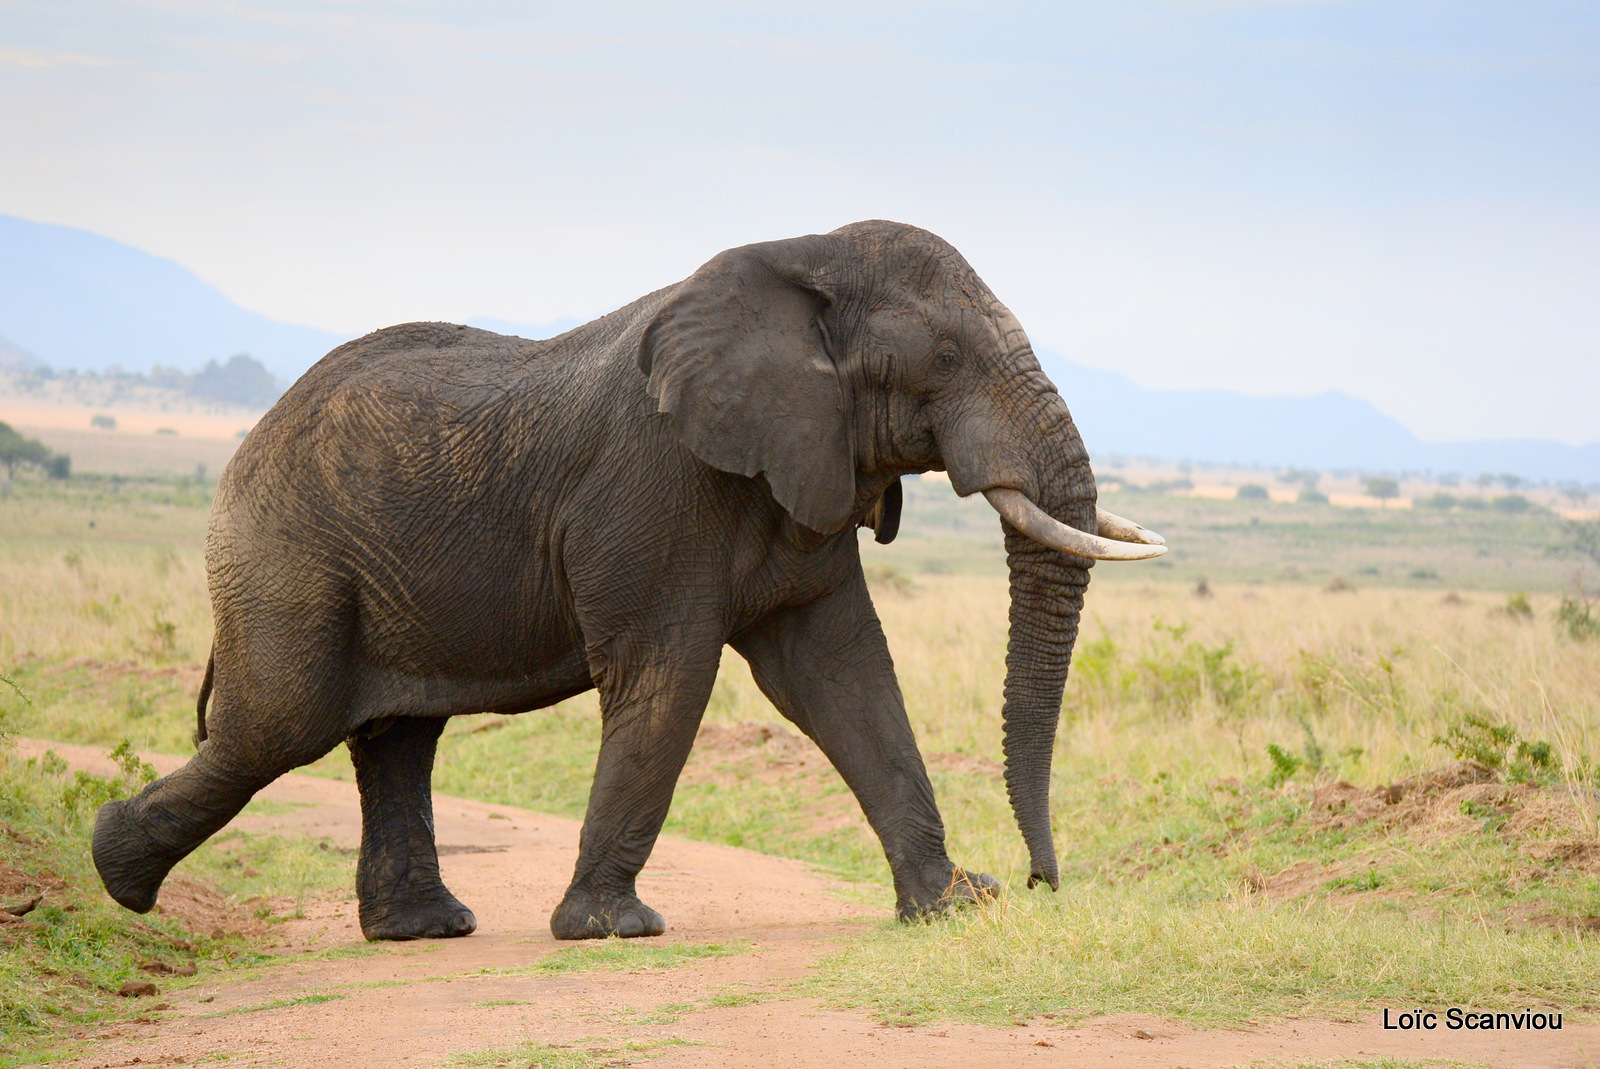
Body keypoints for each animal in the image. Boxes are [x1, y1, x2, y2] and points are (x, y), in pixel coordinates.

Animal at [90, 220, 1164, 940]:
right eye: (944, 355)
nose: (1044, 883)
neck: (800, 256)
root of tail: (243, 447)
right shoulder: (655, 480)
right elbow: (670, 674)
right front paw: (611, 929)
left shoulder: (806, 464)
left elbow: (842, 670)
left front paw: (953, 903)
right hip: (287, 558)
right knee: (278, 726)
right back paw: (115, 871)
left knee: (395, 736)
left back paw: (421, 928)